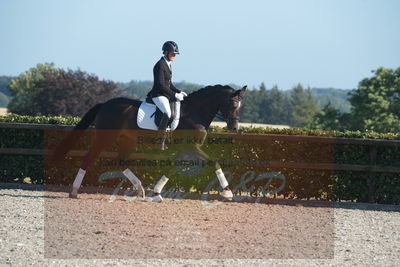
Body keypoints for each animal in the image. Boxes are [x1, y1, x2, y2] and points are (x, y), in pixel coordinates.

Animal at [50, 85, 247, 202]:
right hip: (104, 138)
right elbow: (214, 161)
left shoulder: (185, 148)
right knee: (89, 158)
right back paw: (74, 191)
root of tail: (105, 104)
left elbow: (173, 166)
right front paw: (227, 192)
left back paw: (140, 190)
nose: (235, 127)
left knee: (121, 161)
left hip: (127, 140)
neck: (194, 112)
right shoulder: (192, 146)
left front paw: (156, 192)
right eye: (233, 104)